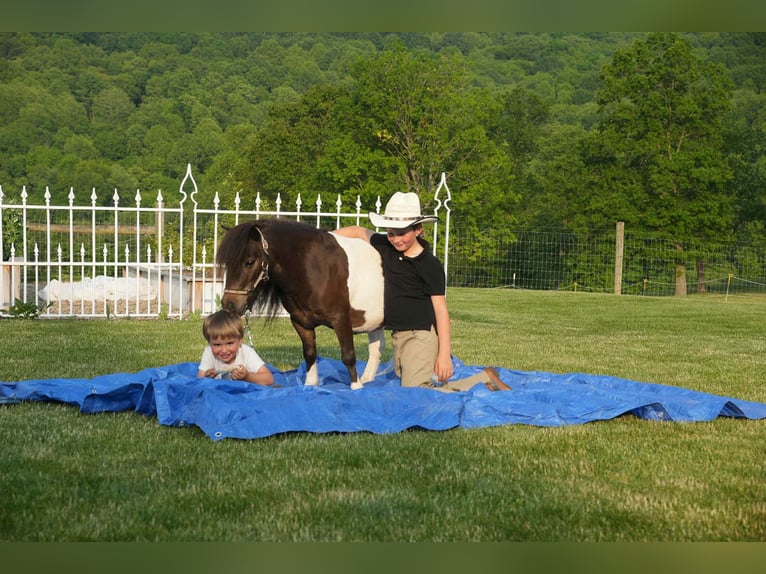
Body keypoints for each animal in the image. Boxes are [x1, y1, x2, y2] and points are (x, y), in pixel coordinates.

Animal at [217, 219, 385, 390]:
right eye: (227, 264)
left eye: (249, 262)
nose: (229, 304)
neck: (316, 268)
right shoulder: (301, 321)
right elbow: (310, 354)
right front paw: (310, 385)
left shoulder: (341, 318)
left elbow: (348, 354)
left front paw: (356, 388)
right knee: (376, 349)